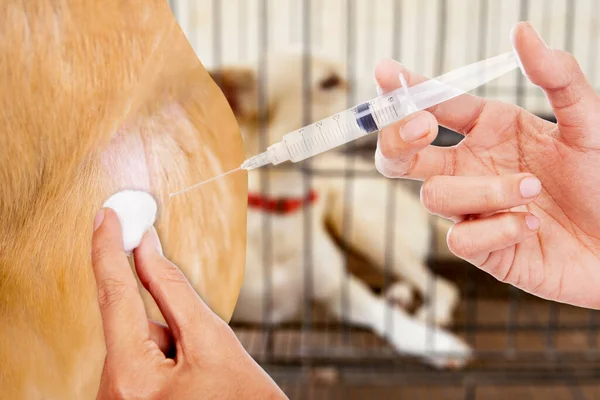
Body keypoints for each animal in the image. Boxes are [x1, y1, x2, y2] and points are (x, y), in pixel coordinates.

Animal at [211, 50, 474, 368]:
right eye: (329, 82)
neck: (280, 214)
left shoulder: (340, 287)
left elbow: (388, 318)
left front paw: (434, 343)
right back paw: (398, 295)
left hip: (359, 222)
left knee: (441, 285)